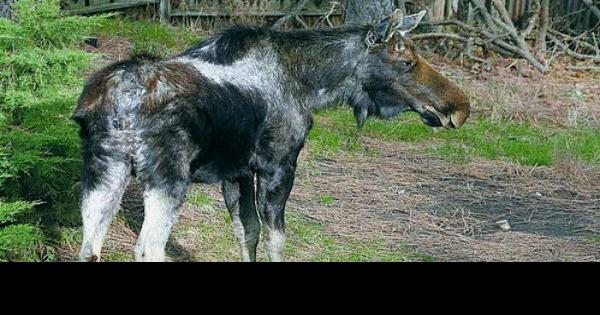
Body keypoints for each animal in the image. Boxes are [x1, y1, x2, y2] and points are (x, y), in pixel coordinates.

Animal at [72, 9, 472, 262]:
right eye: (406, 62)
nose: (460, 107)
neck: (311, 84)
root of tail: (114, 102)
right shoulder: (278, 165)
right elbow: (275, 239)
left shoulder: (235, 172)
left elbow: (246, 232)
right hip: (167, 177)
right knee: (147, 248)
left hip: (104, 169)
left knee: (90, 245)